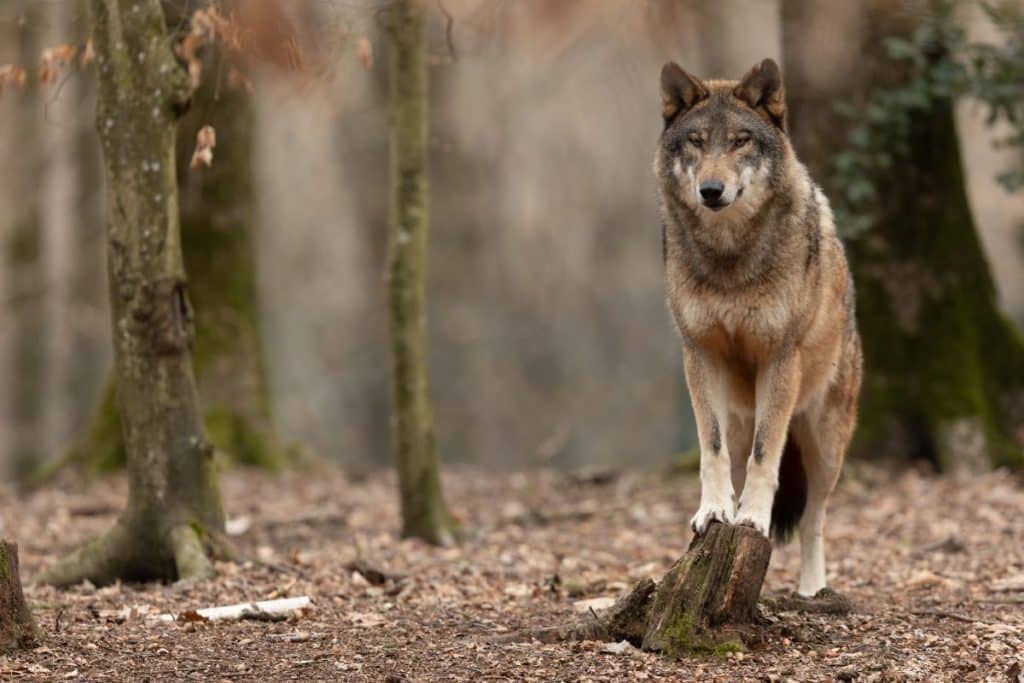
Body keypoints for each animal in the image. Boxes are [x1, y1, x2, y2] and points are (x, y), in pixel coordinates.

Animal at [655, 58, 863, 597]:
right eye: (697, 142)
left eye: (740, 142)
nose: (711, 190)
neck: (730, 259)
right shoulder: (699, 354)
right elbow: (711, 450)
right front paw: (714, 512)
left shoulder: (779, 358)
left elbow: (766, 458)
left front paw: (751, 520)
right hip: (740, 415)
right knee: (736, 456)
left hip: (824, 445)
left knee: (814, 520)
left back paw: (812, 591)